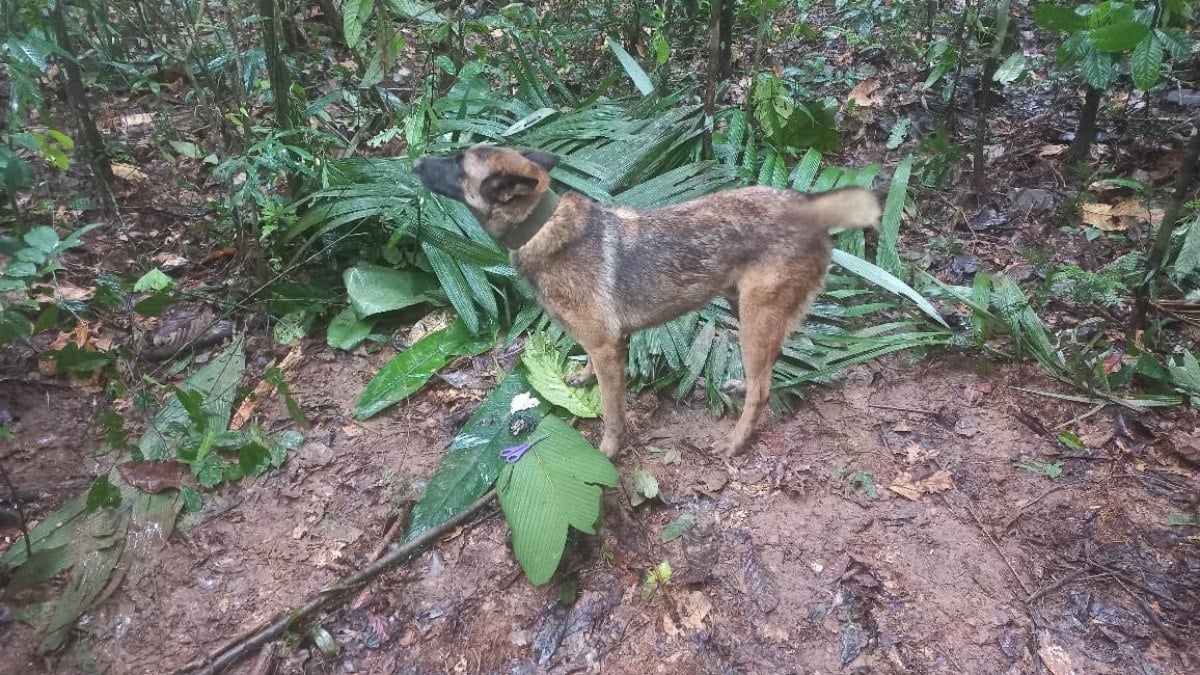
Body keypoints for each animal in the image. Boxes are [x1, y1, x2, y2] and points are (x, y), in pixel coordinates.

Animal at [412, 144, 883, 454]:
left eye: (458, 163)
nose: (414, 161)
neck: (542, 226)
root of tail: (808, 206)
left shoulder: (607, 347)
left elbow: (611, 411)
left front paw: (608, 451)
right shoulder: (602, 345)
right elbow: (591, 372)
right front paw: (582, 378)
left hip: (755, 318)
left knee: (764, 390)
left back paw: (735, 441)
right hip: (745, 309)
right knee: (768, 368)